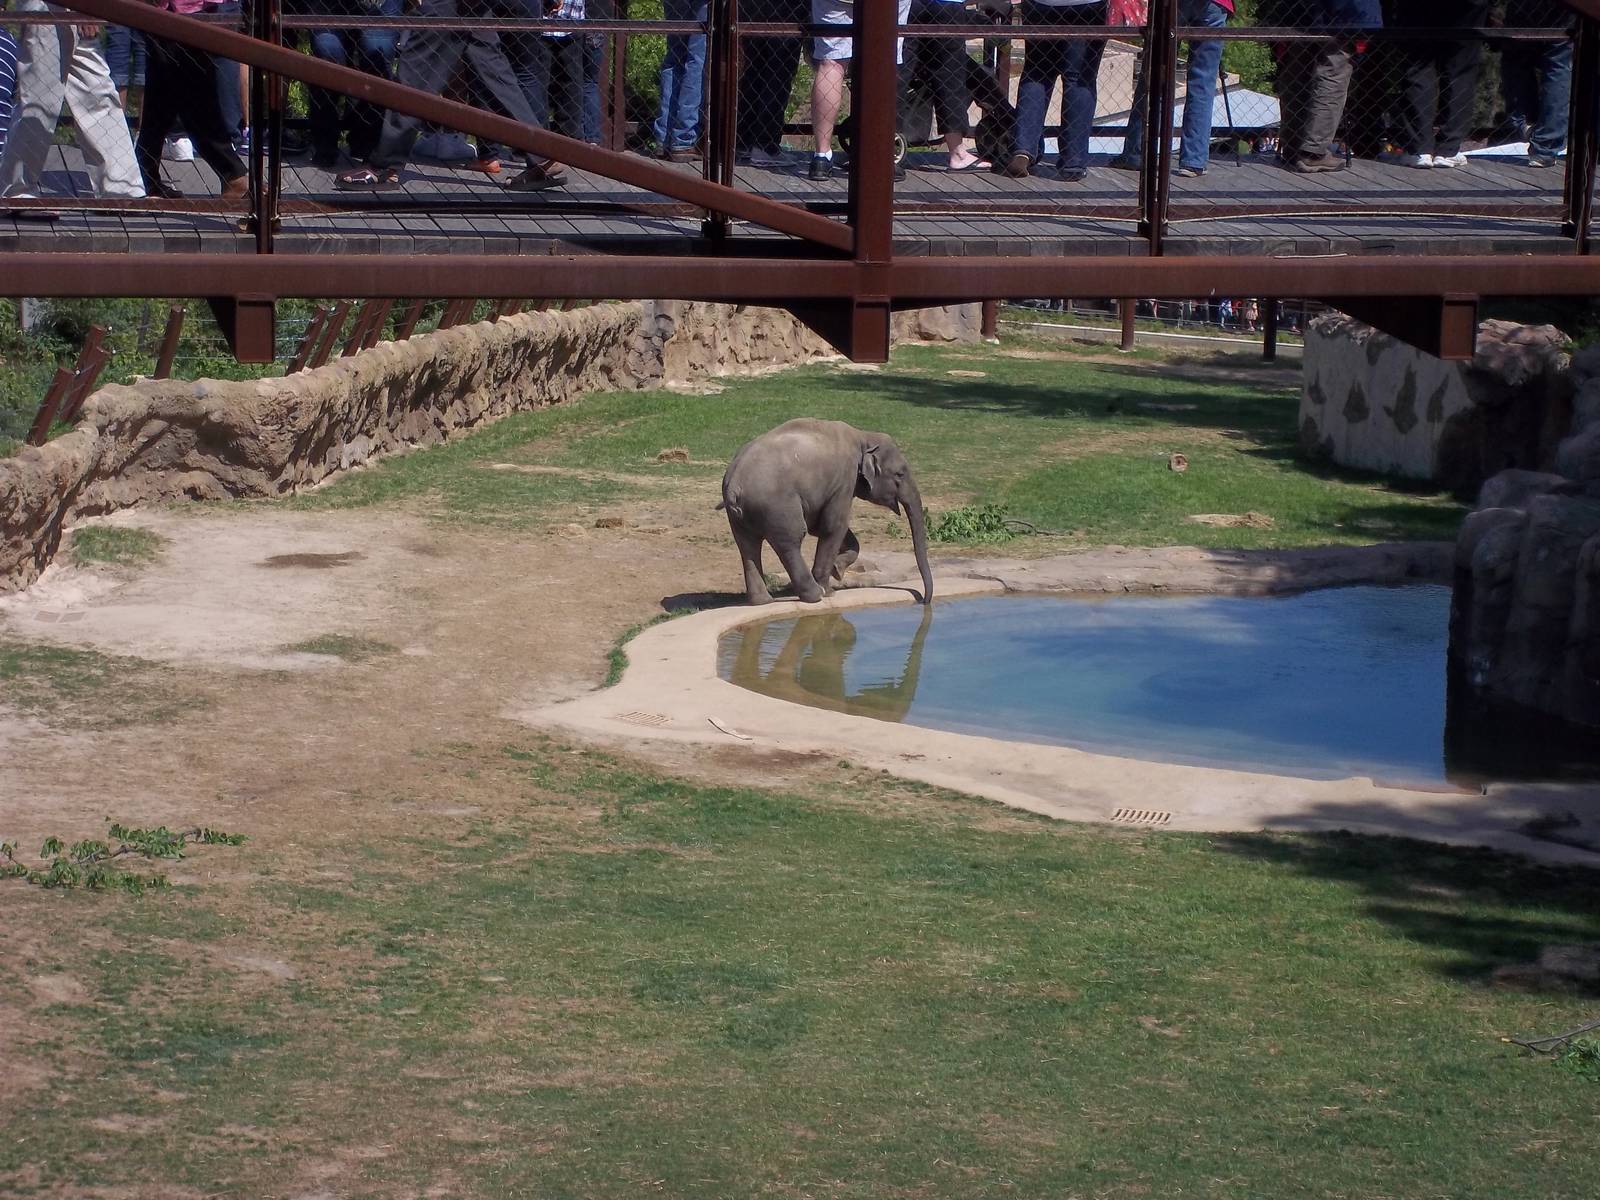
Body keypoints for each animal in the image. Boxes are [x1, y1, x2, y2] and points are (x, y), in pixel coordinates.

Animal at [719, 418, 933, 606]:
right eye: (900, 474)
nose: (923, 600)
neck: (863, 436)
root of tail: (734, 486)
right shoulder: (844, 479)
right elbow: (834, 525)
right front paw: (831, 589)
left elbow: (821, 525)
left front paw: (837, 571)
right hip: (777, 506)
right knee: (791, 541)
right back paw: (816, 595)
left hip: (741, 516)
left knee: (748, 545)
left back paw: (763, 602)